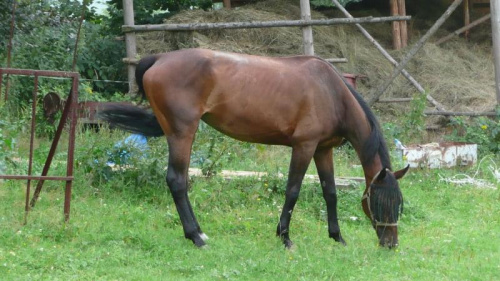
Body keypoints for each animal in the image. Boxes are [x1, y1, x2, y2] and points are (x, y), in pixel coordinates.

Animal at [99, 48, 408, 247]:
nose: (390, 244)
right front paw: (284, 237)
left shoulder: (323, 149)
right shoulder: (304, 146)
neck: (331, 92)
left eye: (399, 204)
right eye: (378, 203)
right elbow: (293, 190)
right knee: (177, 180)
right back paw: (197, 236)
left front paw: (337, 237)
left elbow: (330, 193)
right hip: (182, 133)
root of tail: (160, 58)